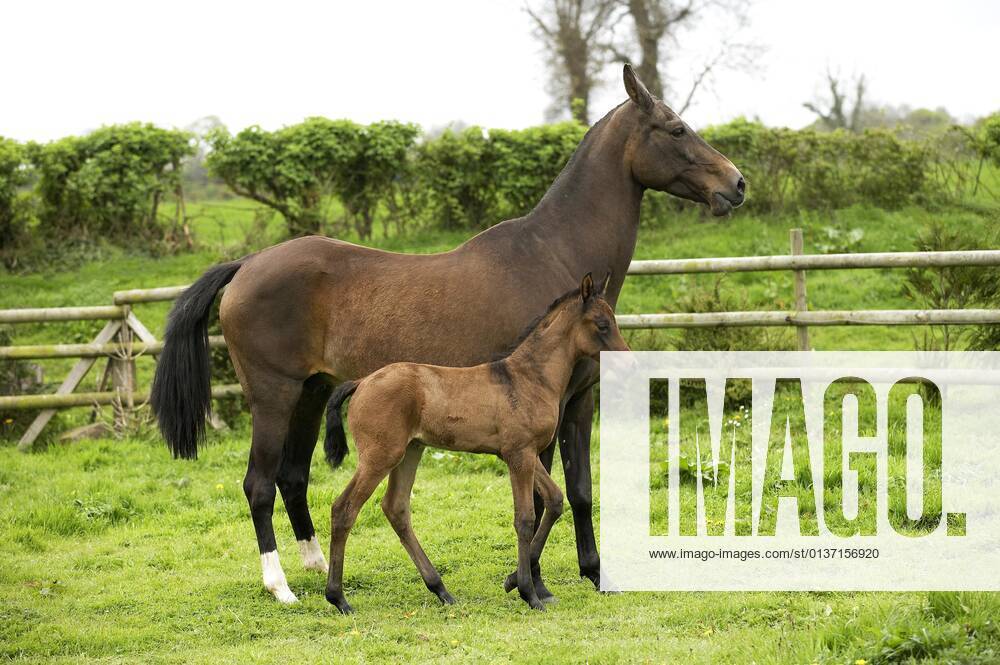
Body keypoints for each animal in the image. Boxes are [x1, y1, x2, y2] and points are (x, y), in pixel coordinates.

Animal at [322, 273, 629, 613]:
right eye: (602, 324)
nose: (627, 360)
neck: (528, 379)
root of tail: (361, 382)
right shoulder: (518, 455)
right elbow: (525, 517)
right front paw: (529, 592)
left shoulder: (524, 453)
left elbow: (555, 500)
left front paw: (512, 581)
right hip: (380, 455)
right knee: (344, 509)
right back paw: (339, 598)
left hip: (411, 451)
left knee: (396, 508)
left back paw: (441, 590)